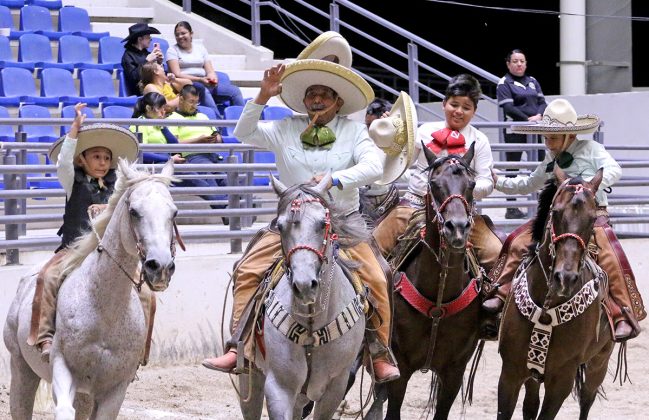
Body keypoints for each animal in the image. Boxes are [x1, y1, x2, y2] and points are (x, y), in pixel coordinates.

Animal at [4, 159, 180, 418]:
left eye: (174, 213)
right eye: (134, 212)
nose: (161, 266)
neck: (104, 311)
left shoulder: (115, 389)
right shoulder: (62, 367)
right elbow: (63, 410)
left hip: (84, 395)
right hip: (21, 369)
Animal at [240, 172, 368, 418]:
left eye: (322, 224)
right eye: (280, 226)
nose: (304, 285)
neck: (312, 327)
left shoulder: (335, 387)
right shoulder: (279, 387)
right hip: (249, 376)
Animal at [370, 143, 486, 418]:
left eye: (472, 183)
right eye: (434, 183)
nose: (457, 228)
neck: (438, 299)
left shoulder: (454, 372)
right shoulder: (400, 367)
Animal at [494, 167, 616, 420]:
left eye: (592, 219)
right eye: (556, 212)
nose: (565, 278)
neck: (547, 308)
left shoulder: (561, 382)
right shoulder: (510, 373)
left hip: (599, 362)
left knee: (587, 400)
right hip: (533, 374)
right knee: (530, 404)